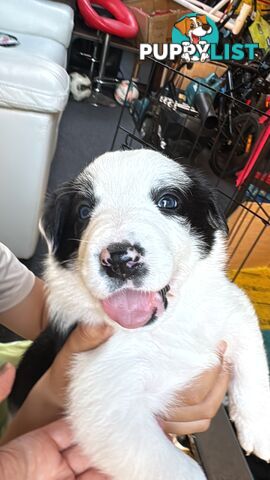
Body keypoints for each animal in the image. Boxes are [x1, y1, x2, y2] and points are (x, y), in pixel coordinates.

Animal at [10, 150, 270, 480]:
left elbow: (252, 357)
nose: (120, 259)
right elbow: (178, 468)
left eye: (168, 202)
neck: (163, 327)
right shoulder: (108, 407)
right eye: (83, 211)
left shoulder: (228, 303)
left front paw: (260, 430)